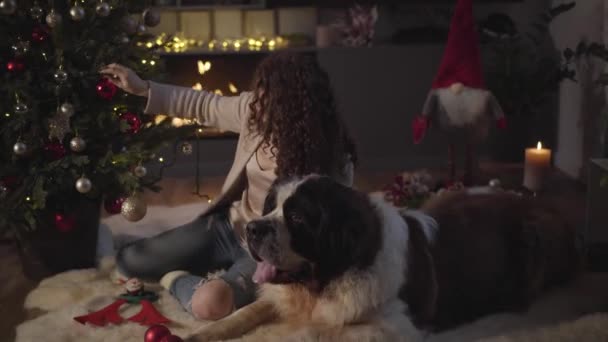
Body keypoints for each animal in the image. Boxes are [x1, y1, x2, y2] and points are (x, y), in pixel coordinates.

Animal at [189, 176, 580, 342]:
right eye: (271, 208)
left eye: (297, 217)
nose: (253, 228)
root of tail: (536, 202)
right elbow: (247, 311)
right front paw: (205, 333)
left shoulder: (399, 326)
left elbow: (319, 331)